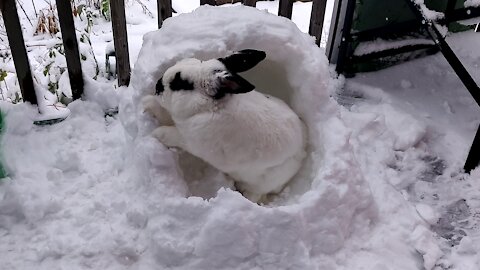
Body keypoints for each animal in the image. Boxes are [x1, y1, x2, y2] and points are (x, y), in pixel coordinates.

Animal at [143, 49, 308, 201]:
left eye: (181, 83)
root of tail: (302, 152)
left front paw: (157, 133)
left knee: (256, 194)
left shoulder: (189, 141)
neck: (208, 107)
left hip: (262, 182)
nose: (157, 86)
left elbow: (171, 134)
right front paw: (147, 103)